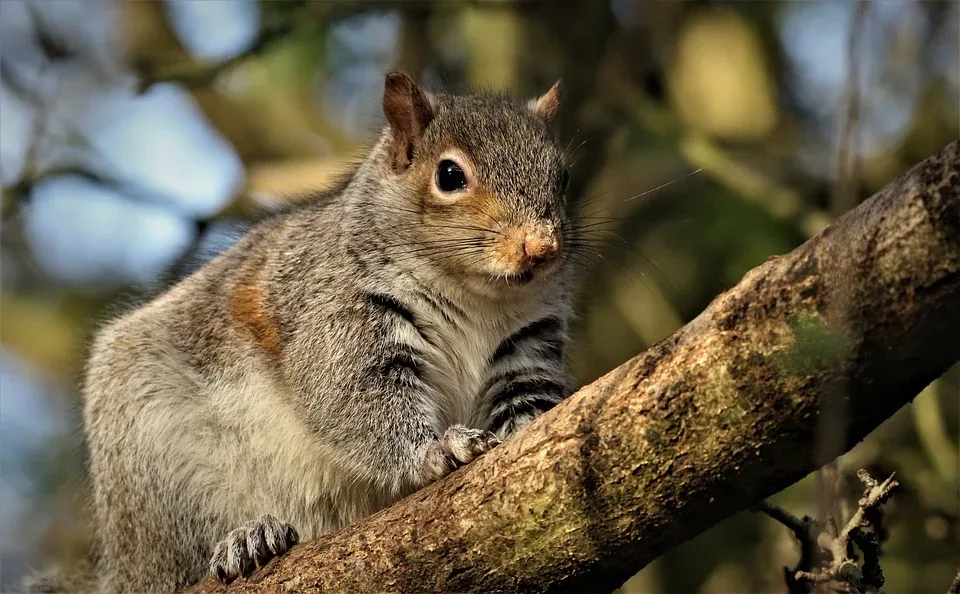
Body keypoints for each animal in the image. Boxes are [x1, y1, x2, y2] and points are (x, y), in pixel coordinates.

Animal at [35, 71, 576, 588]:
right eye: (449, 175)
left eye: (563, 176)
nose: (540, 247)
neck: (477, 299)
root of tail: (121, 567)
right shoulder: (335, 318)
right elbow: (356, 399)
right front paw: (437, 449)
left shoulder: (526, 346)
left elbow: (526, 402)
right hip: (155, 463)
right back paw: (244, 540)